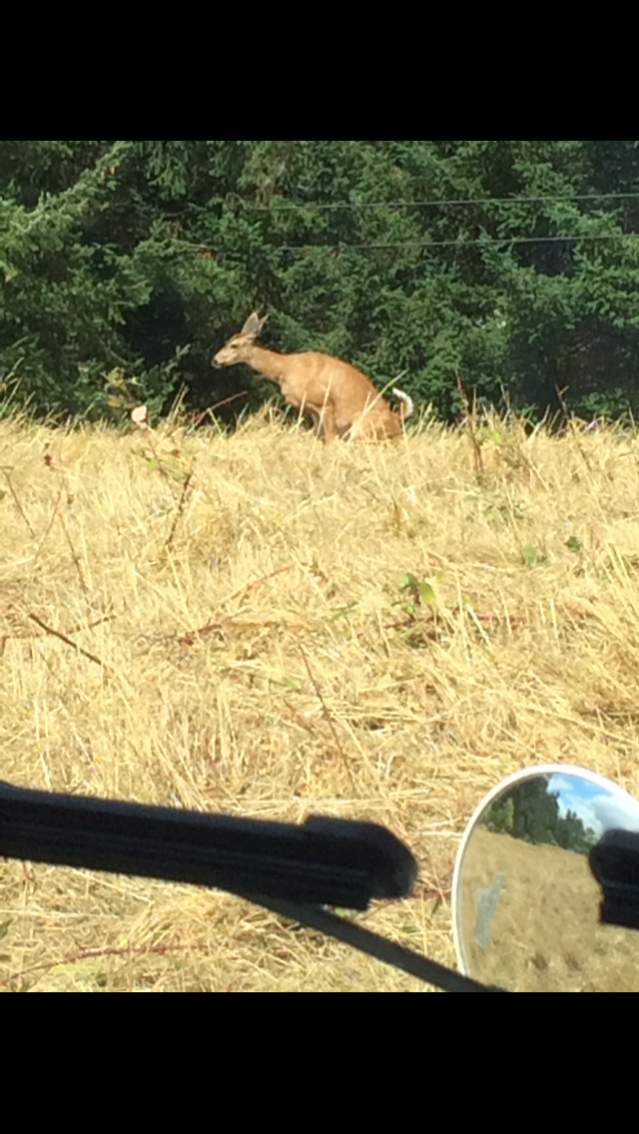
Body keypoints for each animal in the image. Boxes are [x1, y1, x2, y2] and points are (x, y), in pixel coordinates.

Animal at [212, 310, 417, 442]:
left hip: (363, 425)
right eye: (227, 341)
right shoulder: (311, 410)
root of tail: (397, 419)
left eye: (234, 346)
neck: (285, 370)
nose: (215, 360)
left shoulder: (325, 403)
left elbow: (330, 441)